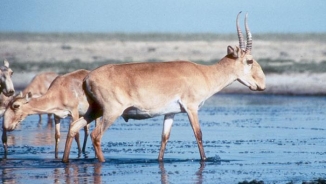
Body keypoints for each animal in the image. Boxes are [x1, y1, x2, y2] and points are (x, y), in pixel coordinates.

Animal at [61, 12, 264, 162]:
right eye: (249, 60)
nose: (262, 85)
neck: (205, 73)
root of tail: (87, 78)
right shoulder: (191, 108)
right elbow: (198, 134)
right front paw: (205, 160)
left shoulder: (170, 113)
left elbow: (164, 139)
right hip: (111, 111)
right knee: (96, 135)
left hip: (94, 110)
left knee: (74, 127)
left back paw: (64, 160)